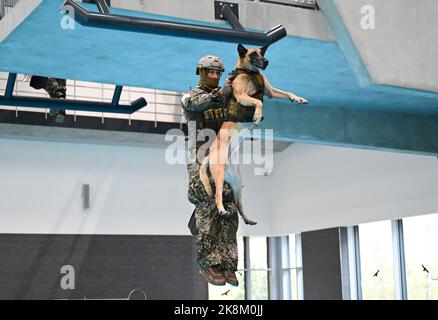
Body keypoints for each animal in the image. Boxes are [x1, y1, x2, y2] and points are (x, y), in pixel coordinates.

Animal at [199, 43, 308, 225]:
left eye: (262, 53)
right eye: (254, 55)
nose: (266, 61)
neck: (249, 72)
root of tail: (210, 153)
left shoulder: (270, 91)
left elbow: (286, 92)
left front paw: (298, 98)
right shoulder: (242, 96)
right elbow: (257, 101)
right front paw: (257, 115)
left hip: (237, 181)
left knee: (238, 204)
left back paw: (247, 218)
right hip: (219, 173)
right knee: (217, 196)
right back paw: (222, 211)